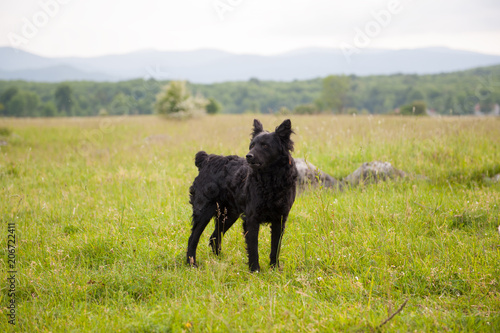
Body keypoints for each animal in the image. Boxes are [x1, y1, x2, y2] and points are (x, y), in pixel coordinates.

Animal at [188, 118, 296, 272]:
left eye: (265, 145)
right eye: (252, 145)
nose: (248, 156)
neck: (271, 180)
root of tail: (207, 159)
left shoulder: (280, 219)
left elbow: (275, 247)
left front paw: (274, 269)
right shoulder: (251, 218)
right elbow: (253, 248)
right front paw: (255, 270)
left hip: (228, 214)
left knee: (214, 237)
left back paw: (220, 260)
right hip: (204, 211)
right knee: (193, 238)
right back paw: (191, 264)